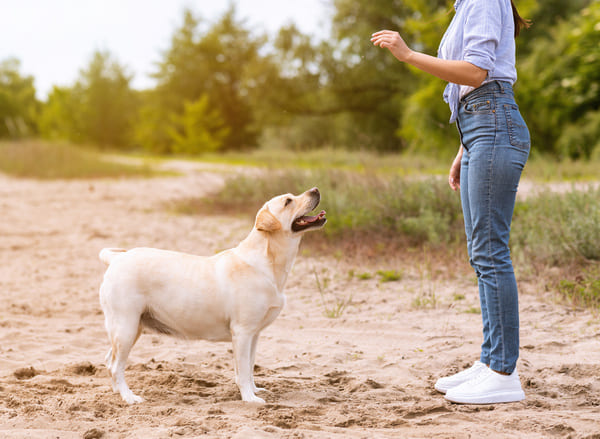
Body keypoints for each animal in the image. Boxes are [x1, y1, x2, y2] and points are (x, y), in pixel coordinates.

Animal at [98, 187, 326, 404]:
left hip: (131, 328)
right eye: (288, 201)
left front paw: (254, 391)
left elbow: (250, 367)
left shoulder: (254, 334)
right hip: (125, 327)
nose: (316, 189)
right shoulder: (242, 332)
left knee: (110, 361)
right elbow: (243, 371)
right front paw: (249, 398)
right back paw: (129, 397)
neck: (268, 262)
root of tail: (116, 258)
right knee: (116, 366)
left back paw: (117, 393)